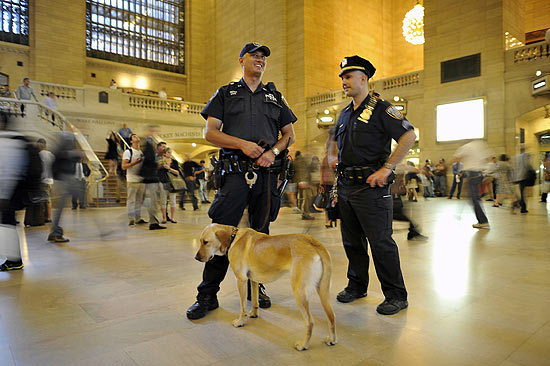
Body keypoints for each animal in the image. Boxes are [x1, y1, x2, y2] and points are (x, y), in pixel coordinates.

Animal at [196, 222, 338, 350]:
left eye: (206, 242)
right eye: (200, 241)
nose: (196, 257)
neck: (233, 237)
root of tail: (313, 242)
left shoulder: (241, 280)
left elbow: (242, 307)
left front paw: (240, 322)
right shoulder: (253, 280)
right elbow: (254, 301)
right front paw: (253, 314)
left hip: (299, 293)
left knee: (310, 322)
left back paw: (303, 345)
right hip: (323, 291)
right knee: (331, 316)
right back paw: (331, 340)